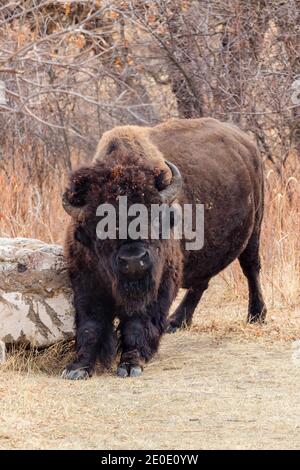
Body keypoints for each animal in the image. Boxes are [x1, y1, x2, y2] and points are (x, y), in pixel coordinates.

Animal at [61, 117, 268, 378]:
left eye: (153, 216)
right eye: (100, 224)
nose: (133, 260)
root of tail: (246, 143)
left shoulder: (158, 283)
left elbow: (138, 323)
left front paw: (130, 364)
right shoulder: (86, 282)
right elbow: (90, 325)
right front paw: (77, 368)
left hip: (255, 229)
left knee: (251, 269)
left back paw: (256, 315)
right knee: (201, 283)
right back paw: (176, 322)